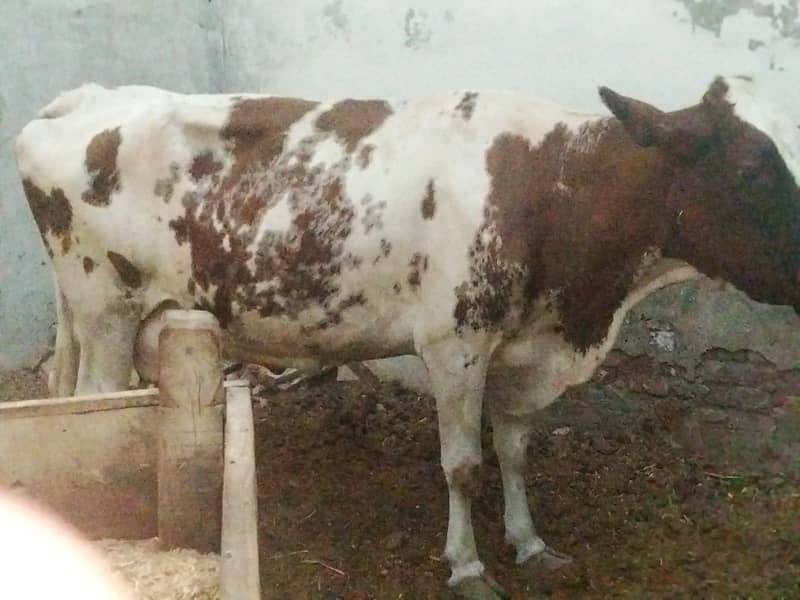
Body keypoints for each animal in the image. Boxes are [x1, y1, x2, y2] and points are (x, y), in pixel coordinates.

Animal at [15, 75, 800, 599]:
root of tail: (85, 97)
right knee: (94, 407)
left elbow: (516, 451)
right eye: (752, 167)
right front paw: (468, 566)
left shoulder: (522, 347)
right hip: (106, 312)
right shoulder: (454, 344)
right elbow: (463, 465)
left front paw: (530, 543)